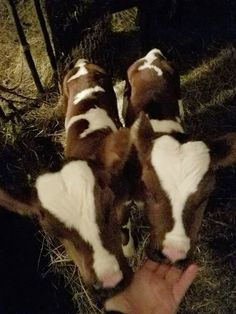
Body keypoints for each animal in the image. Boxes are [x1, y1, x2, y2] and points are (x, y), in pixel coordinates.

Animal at [0, 59, 134, 294]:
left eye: (107, 206)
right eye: (52, 231)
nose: (109, 282)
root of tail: (82, 63)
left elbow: (125, 228)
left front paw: (131, 250)